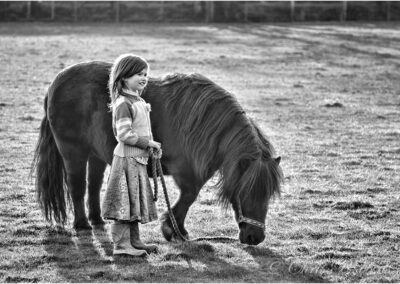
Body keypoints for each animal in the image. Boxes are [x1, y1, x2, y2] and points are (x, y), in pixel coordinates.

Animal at [32, 61, 282, 245]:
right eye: (245, 192)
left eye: (268, 194)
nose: (255, 238)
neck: (205, 126)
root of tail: (56, 83)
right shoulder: (187, 174)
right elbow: (189, 196)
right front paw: (172, 229)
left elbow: (188, 198)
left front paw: (179, 231)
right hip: (73, 152)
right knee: (77, 185)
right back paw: (82, 225)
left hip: (95, 155)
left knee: (94, 185)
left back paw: (97, 220)